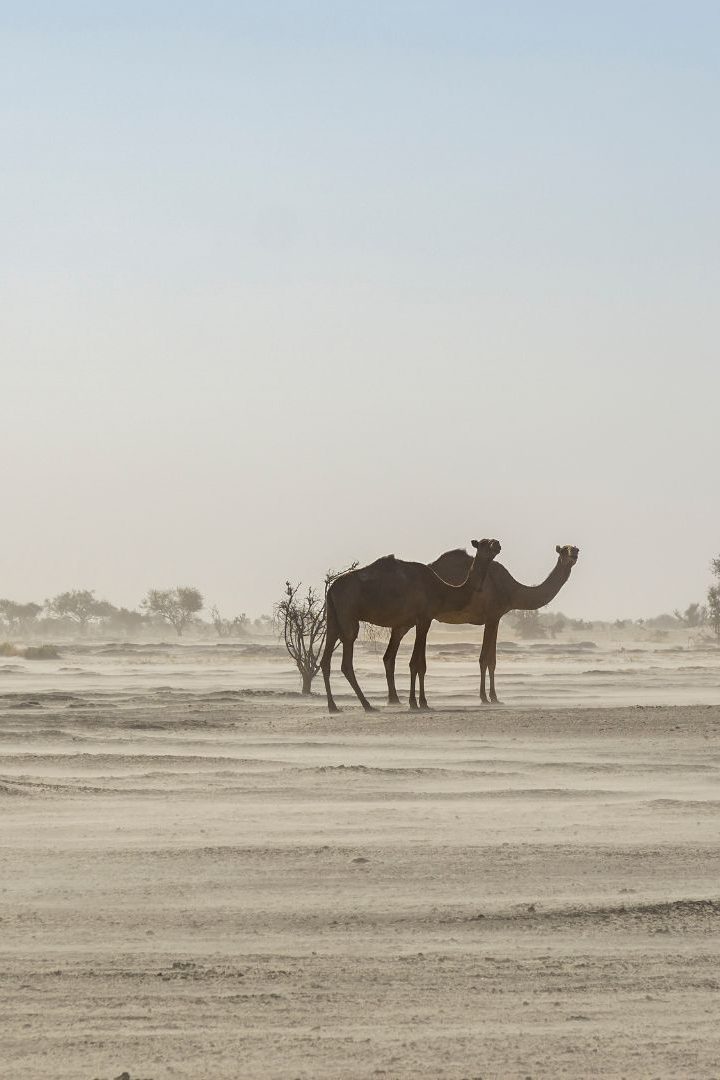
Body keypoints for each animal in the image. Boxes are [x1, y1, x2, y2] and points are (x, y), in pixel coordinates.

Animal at [382, 544, 578, 704]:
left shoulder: (496, 618)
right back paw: (396, 698)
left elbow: (492, 660)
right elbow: (485, 659)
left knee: (389, 655)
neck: (511, 589)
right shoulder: (492, 616)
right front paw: (486, 697)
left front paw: (493, 697)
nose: (574, 554)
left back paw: (394, 698)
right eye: (564, 550)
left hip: (405, 620)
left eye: (576, 548)